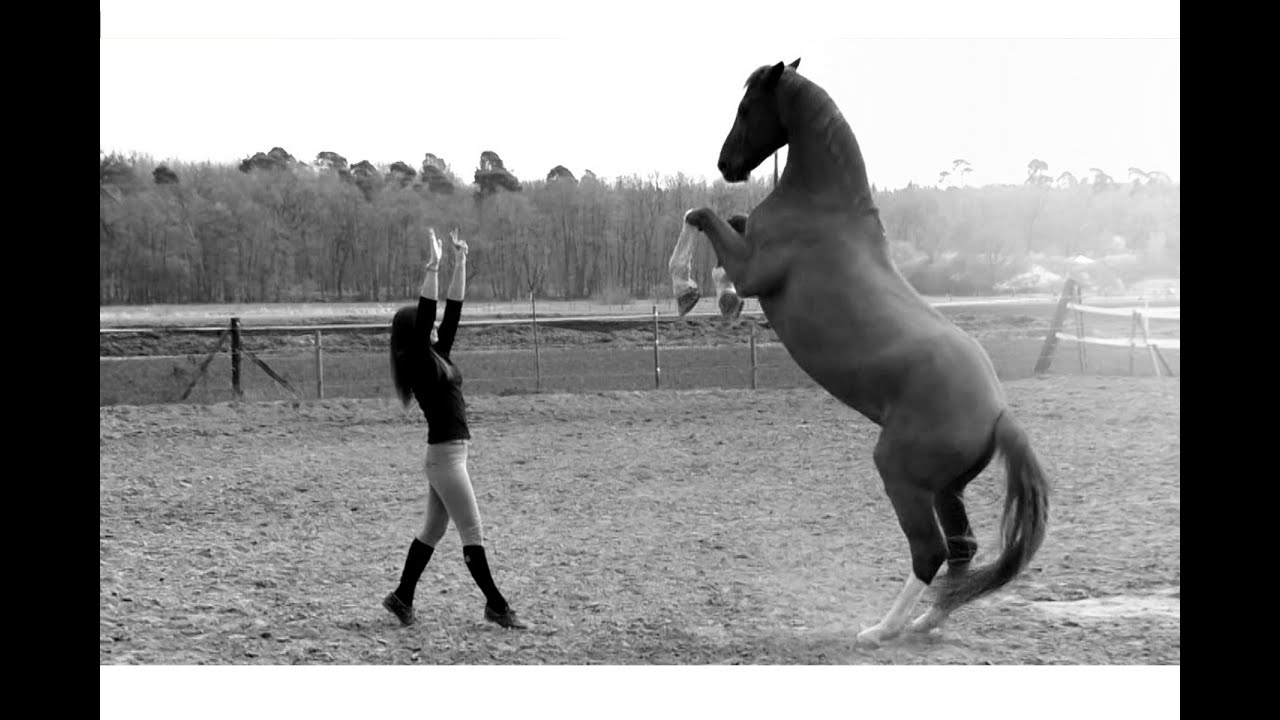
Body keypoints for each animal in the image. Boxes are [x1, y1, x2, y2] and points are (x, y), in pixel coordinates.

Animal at [681, 58, 1049, 645]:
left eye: (745, 107)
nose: (726, 164)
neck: (822, 208)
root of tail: (998, 411)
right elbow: (730, 224)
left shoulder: (755, 268)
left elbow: (707, 219)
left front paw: (709, 294)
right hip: (946, 490)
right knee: (962, 551)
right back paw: (925, 623)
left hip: (902, 477)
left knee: (930, 551)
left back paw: (881, 630)